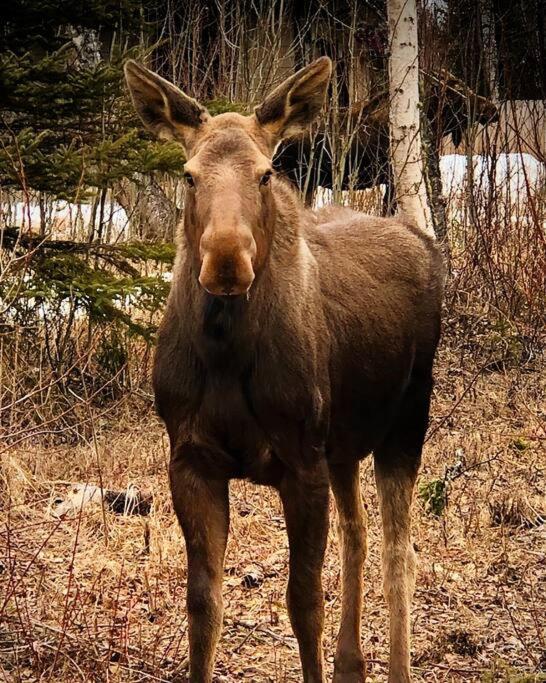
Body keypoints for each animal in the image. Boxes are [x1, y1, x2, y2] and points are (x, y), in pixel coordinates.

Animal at [124, 56, 442, 680]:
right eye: (189, 174)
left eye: (267, 173)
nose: (226, 258)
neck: (226, 354)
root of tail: (422, 239)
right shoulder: (190, 459)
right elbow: (203, 605)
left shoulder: (301, 462)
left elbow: (303, 602)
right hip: (343, 442)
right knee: (357, 531)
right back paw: (351, 661)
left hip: (406, 422)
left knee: (400, 551)